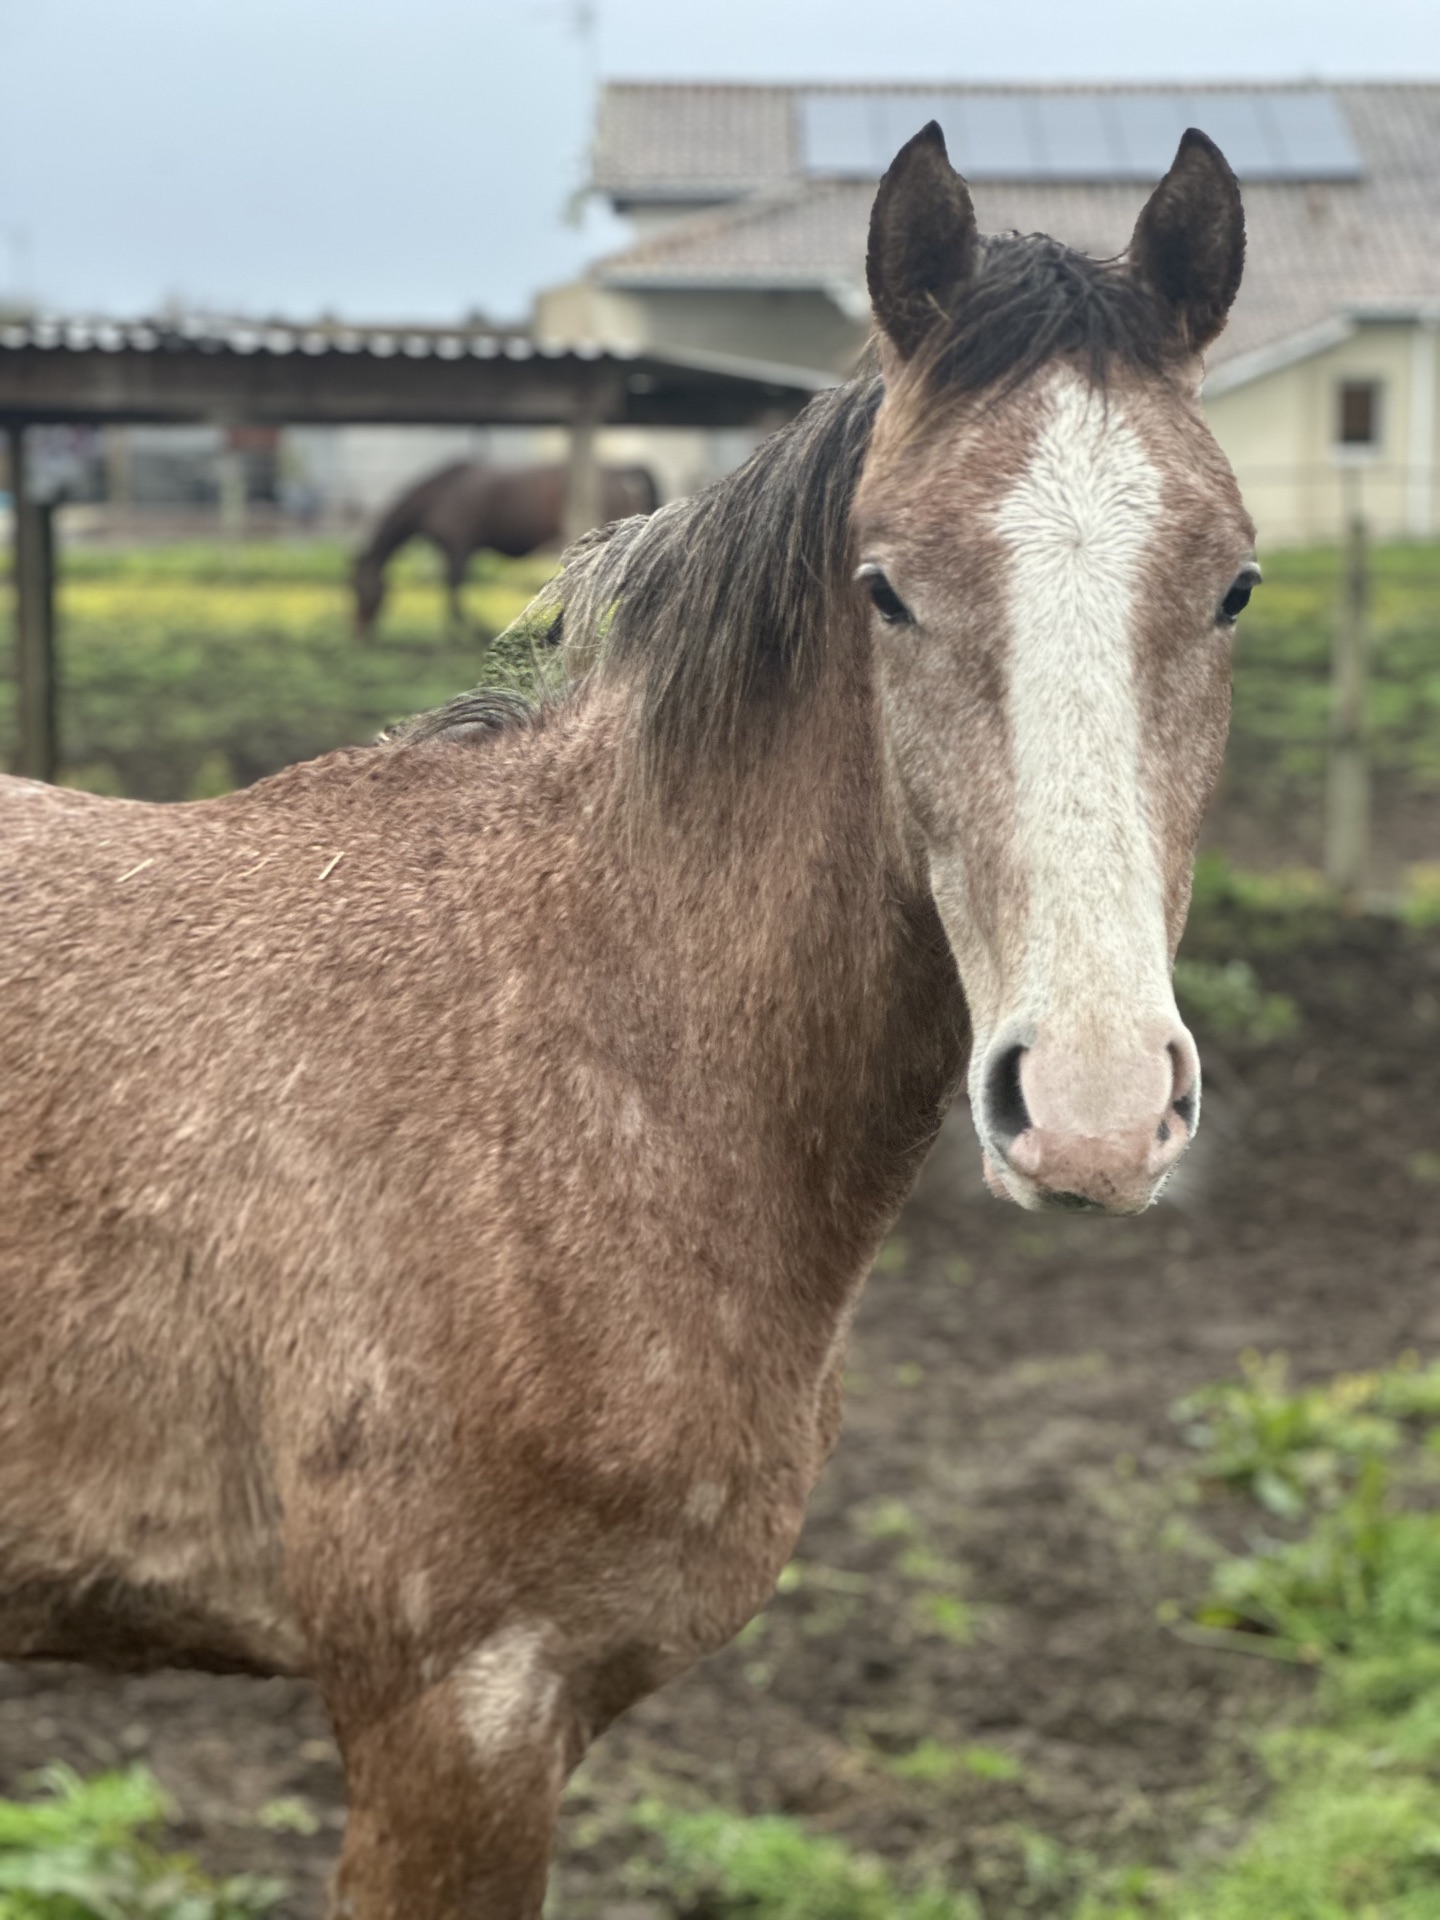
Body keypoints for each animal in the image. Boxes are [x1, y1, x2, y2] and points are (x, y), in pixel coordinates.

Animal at [350, 460, 658, 636]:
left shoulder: (458, 546)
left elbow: (454, 588)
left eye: (360, 588)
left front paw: (464, 629)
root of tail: (621, 478)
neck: (439, 495)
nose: (359, 629)